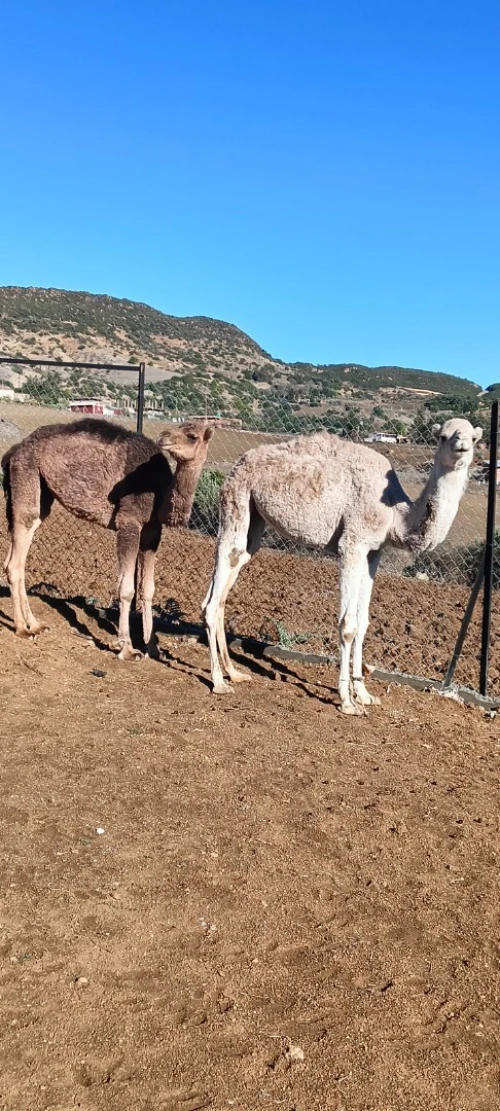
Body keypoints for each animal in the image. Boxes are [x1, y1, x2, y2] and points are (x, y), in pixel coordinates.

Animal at [2, 417, 213, 659]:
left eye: (192, 435)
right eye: (182, 429)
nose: (164, 436)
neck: (159, 491)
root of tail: (14, 450)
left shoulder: (153, 532)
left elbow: (148, 589)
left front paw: (152, 648)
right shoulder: (128, 522)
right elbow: (127, 589)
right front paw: (127, 648)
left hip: (40, 491)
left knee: (19, 549)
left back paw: (35, 625)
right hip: (26, 473)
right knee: (17, 556)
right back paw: (22, 629)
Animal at [202, 418, 482, 713]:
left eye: (474, 438)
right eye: (442, 436)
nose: (461, 446)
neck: (394, 514)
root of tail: (240, 462)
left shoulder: (374, 552)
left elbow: (363, 622)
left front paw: (365, 694)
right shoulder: (352, 545)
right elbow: (348, 625)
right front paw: (347, 701)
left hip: (254, 519)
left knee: (230, 573)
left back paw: (234, 673)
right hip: (236, 499)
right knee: (222, 571)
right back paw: (218, 682)